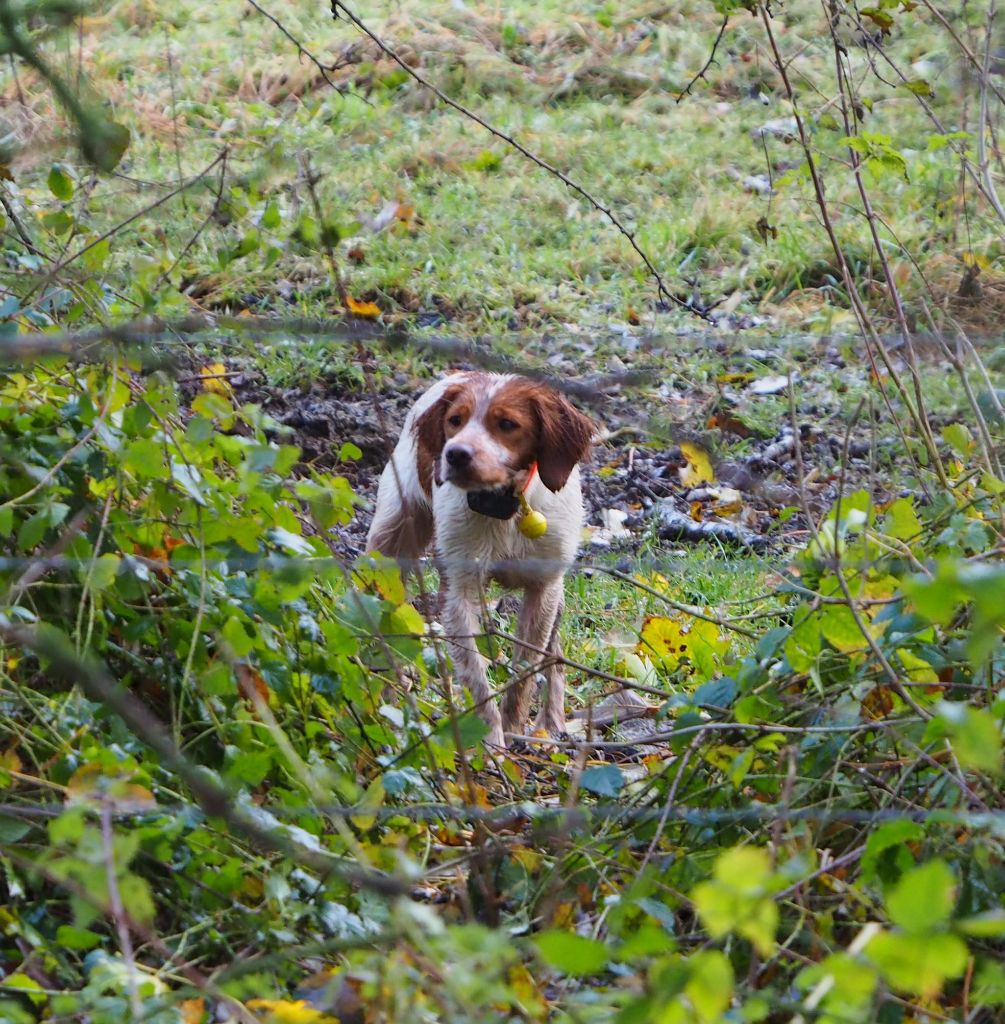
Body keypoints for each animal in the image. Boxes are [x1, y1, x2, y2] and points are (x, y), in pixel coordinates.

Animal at [364, 372, 594, 749]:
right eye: (454, 420)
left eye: (507, 424)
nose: (455, 454)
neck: (504, 508)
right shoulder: (458, 592)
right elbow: (476, 678)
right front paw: (492, 742)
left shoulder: (544, 588)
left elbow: (526, 671)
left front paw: (514, 727)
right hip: (388, 546)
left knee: (555, 655)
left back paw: (550, 722)